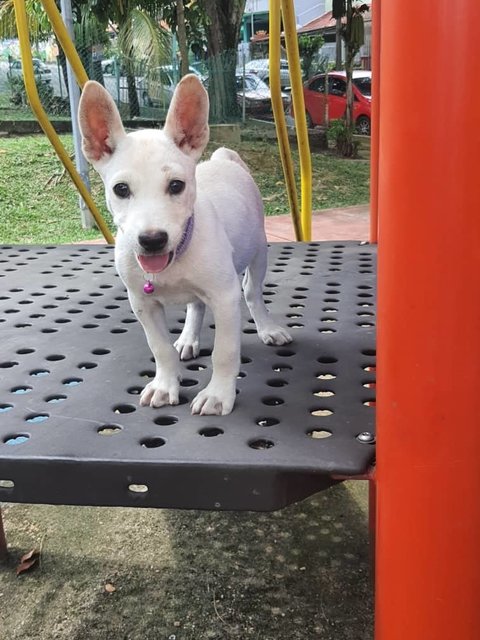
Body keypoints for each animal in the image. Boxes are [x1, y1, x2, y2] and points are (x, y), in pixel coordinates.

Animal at [78, 74, 292, 416]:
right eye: (121, 189)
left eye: (176, 185)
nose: (152, 239)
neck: (175, 256)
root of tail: (221, 159)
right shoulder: (143, 303)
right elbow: (160, 348)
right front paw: (165, 385)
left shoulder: (225, 298)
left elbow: (225, 352)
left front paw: (218, 395)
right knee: (195, 305)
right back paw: (189, 338)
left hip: (258, 250)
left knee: (252, 293)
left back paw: (267, 328)